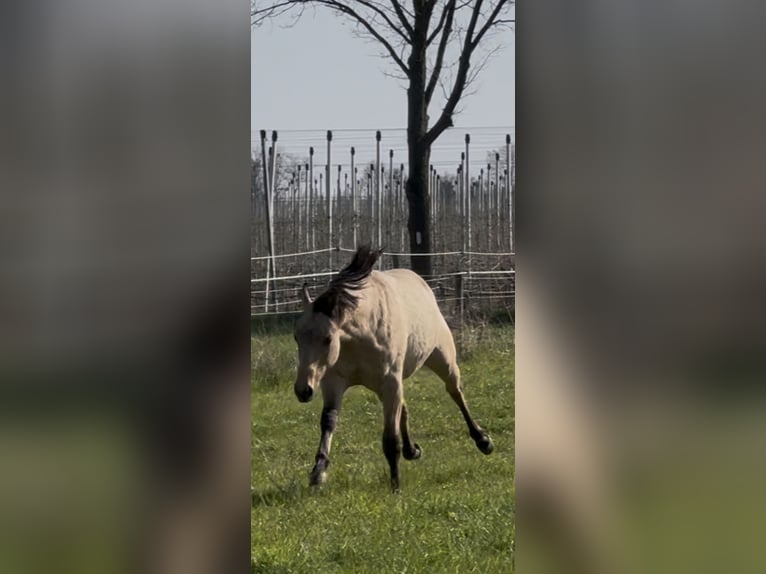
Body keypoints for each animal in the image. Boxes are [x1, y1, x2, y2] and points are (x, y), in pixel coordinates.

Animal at [292, 245, 494, 492]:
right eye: (296, 337)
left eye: (328, 338)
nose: (303, 390)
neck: (362, 333)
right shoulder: (334, 381)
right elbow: (329, 421)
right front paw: (318, 472)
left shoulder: (389, 381)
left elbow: (390, 438)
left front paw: (395, 485)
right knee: (404, 408)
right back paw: (411, 450)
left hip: (442, 360)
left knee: (455, 392)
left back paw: (482, 440)